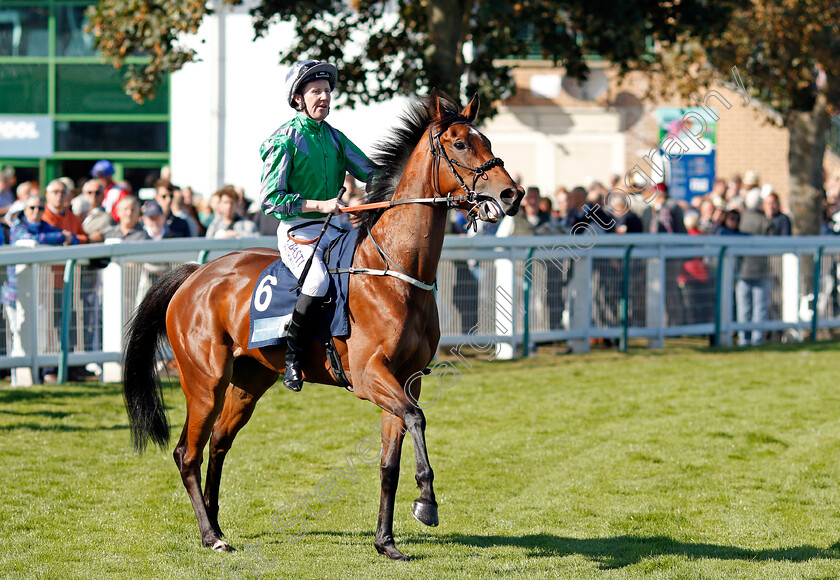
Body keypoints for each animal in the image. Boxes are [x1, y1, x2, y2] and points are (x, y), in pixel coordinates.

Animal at [121, 92, 520, 560]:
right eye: (459, 143)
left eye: (486, 139)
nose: (512, 193)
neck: (395, 272)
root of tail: (194, 274)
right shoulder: (369, 375)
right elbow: (417, 419)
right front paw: (426, 502)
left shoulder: (407, 379)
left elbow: (389, 461)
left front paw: (386, 542)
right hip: (206, 381)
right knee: (188, 452)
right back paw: (210, 535)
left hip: (249, 381)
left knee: (218, 444)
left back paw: (217, 524)